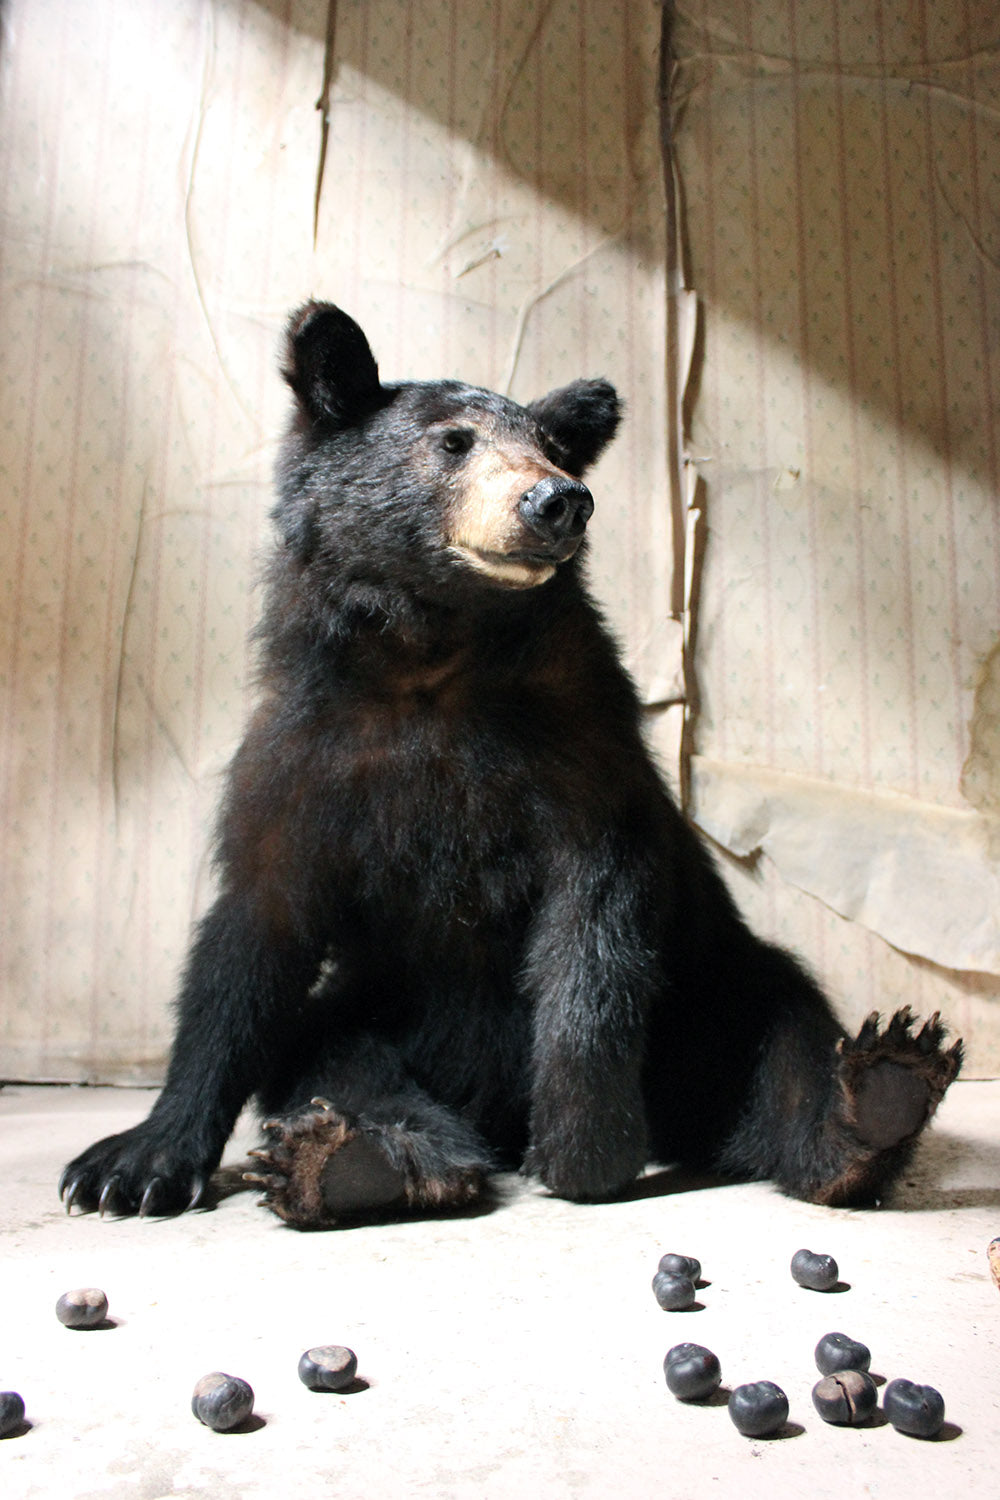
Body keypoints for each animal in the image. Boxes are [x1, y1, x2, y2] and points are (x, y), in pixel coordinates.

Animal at [60, 303, 962, 1228]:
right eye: (455, 441)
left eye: (552, 445)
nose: (560, 499)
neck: (433, 656)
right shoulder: (306, 757)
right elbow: (249, 939)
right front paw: (133, 1163)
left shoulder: (580, 742)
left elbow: (594, 930)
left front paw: (583, 1147)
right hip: (379, 1010)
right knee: (331, 1059)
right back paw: (361, 1160)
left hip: (708, 990)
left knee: (784, 1035)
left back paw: (872, 1102)